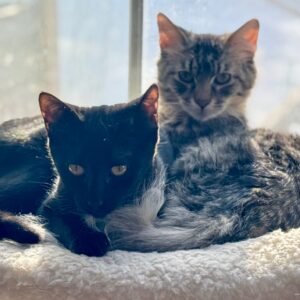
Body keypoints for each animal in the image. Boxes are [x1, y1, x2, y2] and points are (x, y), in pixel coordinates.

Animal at [0, 84, 159, 255]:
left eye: (120, 169)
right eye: (75, 168)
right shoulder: (52, 203)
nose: (95, 202)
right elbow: (66, 217)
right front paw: (89, 239)